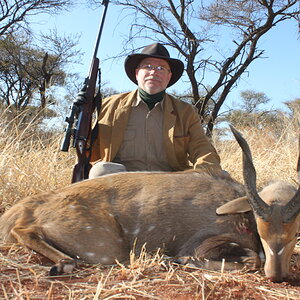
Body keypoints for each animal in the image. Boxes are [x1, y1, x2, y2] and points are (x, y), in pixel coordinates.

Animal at [0, 126, 298, 282]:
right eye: (262, 231)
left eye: (295, 233)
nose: (278, 276)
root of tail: (25, 207)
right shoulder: (203, 244)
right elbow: (251, 259)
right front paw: (176, 260)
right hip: (105, 249)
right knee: (25, 232)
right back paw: (61, 264)